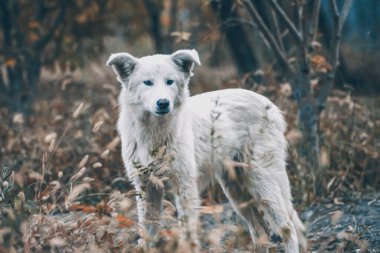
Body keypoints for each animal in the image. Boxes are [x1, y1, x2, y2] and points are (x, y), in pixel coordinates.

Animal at [106, 48, 306, 252]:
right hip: (237, 192)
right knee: (260, 233)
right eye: (147, 82)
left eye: (169, 81)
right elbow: (148, 233)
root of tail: (271, 105)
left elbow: (187, 232)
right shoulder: (146, 186)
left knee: (288, 228)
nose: (163, 103)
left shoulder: (184, 186)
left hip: (261, 183)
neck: (155, 136)